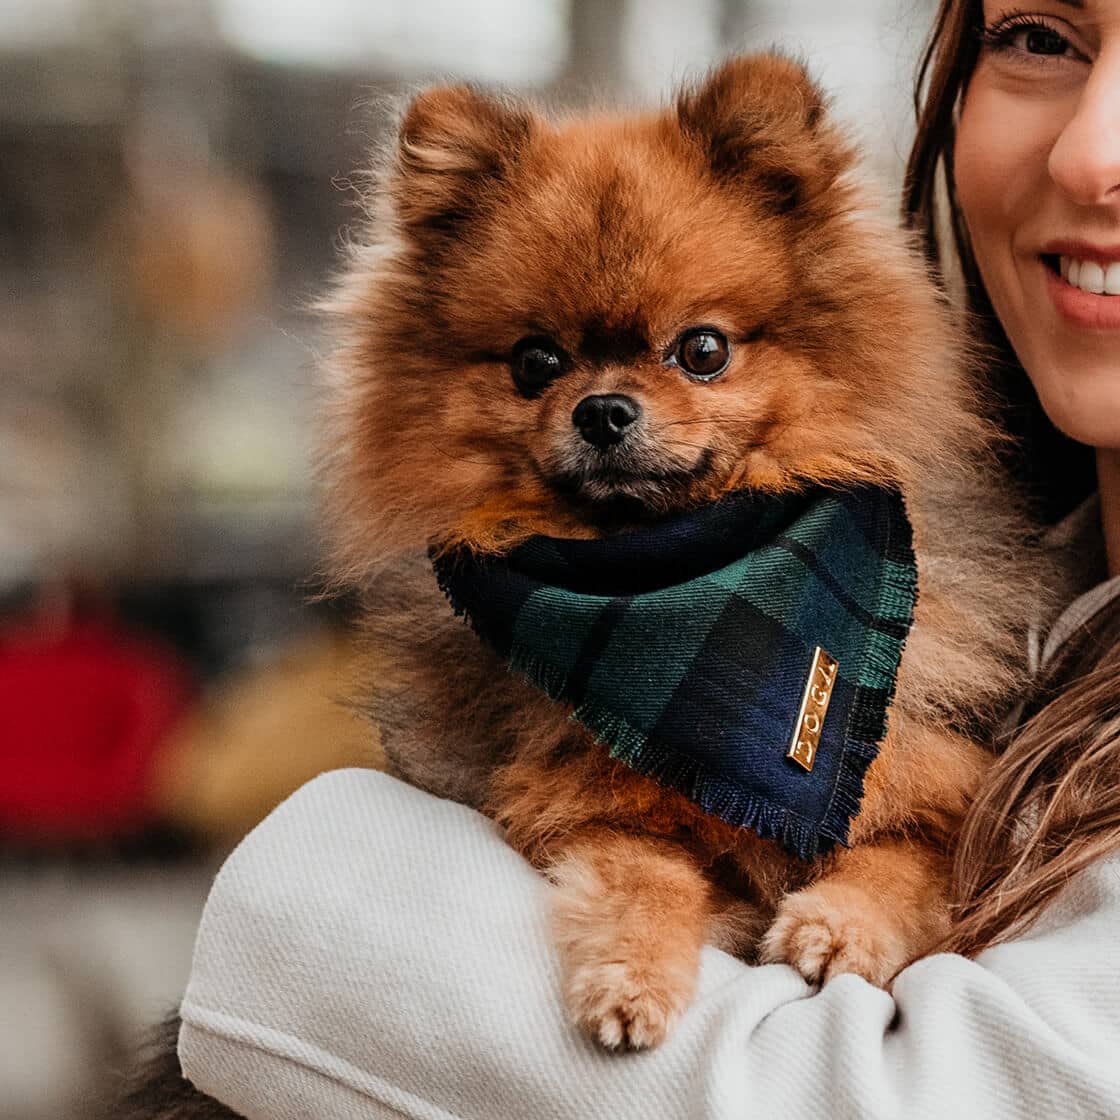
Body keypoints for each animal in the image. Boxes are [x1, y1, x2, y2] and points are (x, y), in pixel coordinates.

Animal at [320, 52, 1034, 1048]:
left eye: (702, 350)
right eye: (535, 362)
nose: (603, 410)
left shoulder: (935, 780)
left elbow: (898, 860)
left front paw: (837, 927)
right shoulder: (586, 800)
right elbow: (643, 877)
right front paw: (630, 980)